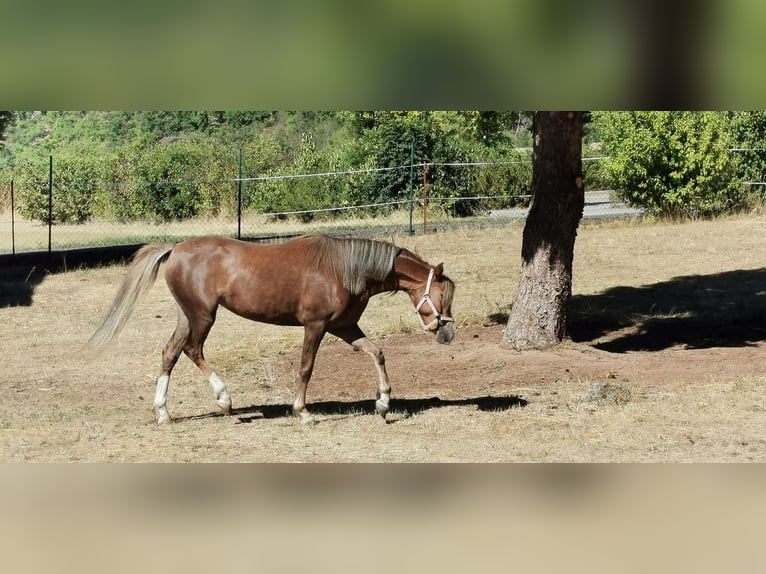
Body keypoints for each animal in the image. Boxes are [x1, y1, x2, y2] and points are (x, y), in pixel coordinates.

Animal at [84, 234, 455, 424]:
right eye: (441, 295)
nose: (447, 333)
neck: (344, 268)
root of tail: (175, 248)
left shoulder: (345, 326)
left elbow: (377, 353)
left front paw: (383, 404)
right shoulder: (316, 326)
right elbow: (306, 368)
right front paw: (302, 413)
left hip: (186, 315)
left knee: (170, 353)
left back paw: (163, 412)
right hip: (203, 315)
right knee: (193, 350)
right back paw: (224, 400)